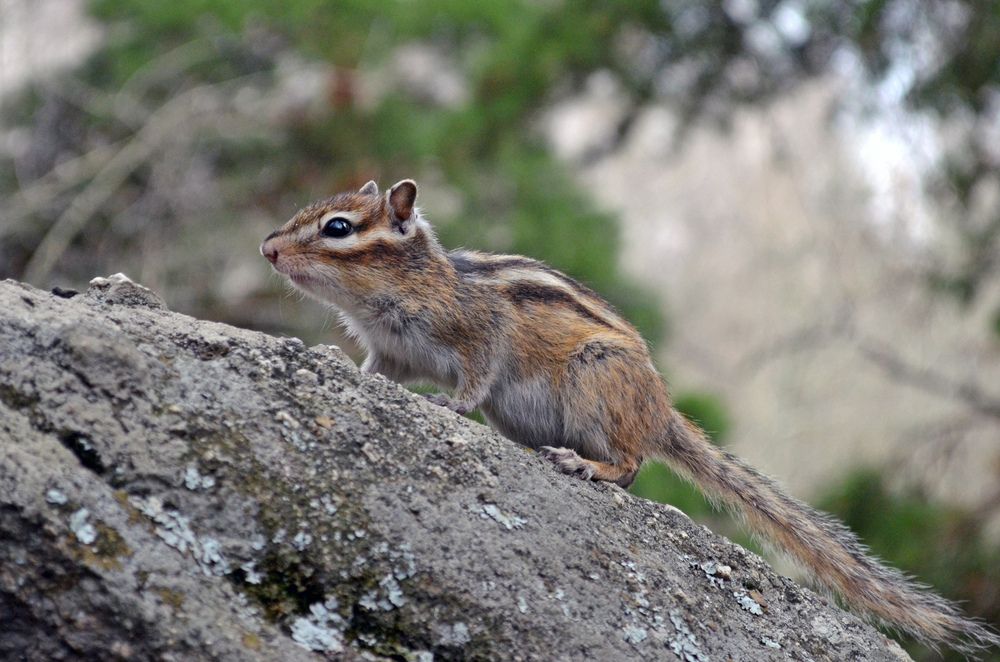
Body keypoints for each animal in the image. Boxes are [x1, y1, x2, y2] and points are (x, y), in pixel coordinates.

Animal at [261, 178, 999, 655]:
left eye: (337, 228)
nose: (267, 249)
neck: (403, 288)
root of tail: (661, 411)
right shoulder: (390, 352)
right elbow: (373, 374)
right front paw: (328, 360)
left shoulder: (480, 334)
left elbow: (475, 377)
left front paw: (448, 405)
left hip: (596, 383)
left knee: (633, 465)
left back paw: (583, 464)